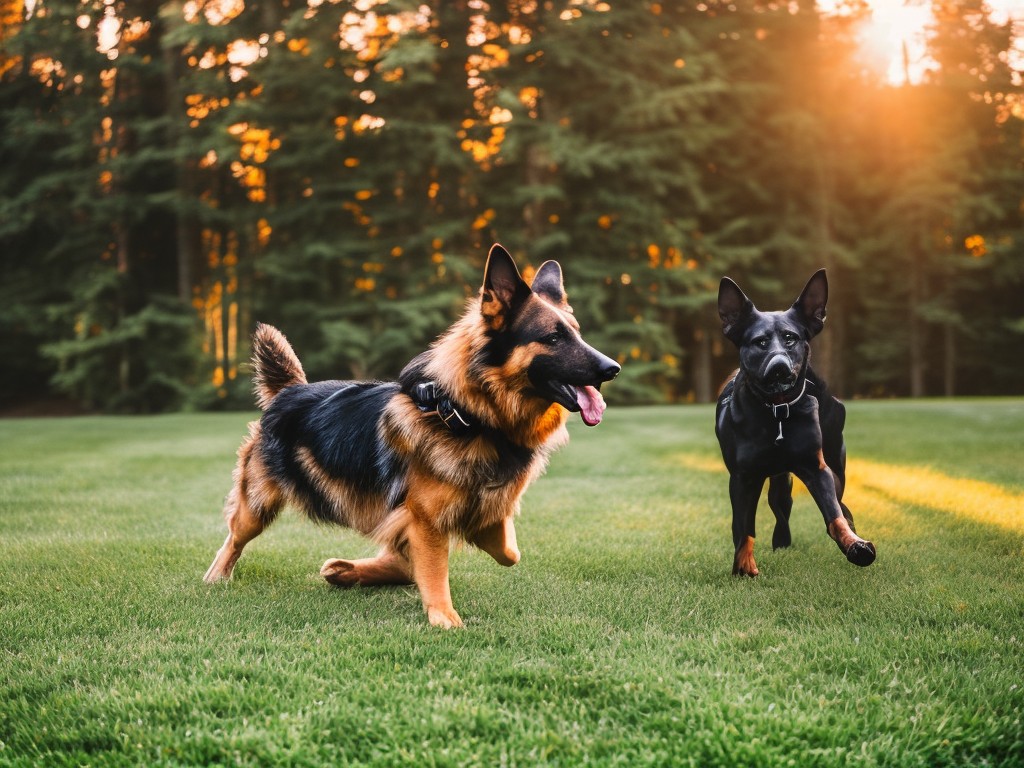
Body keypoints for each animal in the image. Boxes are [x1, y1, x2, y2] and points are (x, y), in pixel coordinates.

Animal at [199, 243, 614, 626]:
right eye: (553, 338)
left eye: (577, 334)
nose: (613, 368)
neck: (469, 414)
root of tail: (290, 390)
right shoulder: (425, 520)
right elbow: (434, 570)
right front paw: (445, 618)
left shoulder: (470, 514)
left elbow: (507, 551)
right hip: (257, 505)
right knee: (233, 539)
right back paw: (217, 576)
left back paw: (349, 571)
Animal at [716, 270, 876, 577]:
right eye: (760, 342)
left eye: (791, 339)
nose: (779, 367)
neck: (777, 412)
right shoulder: (743, 478)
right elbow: (743, 527)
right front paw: (743, 565)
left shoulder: (816, 468)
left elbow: (834, 516)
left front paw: (854, 544)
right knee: (779, 510)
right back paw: (781, 543)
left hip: (834, 465)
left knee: (840, 503)